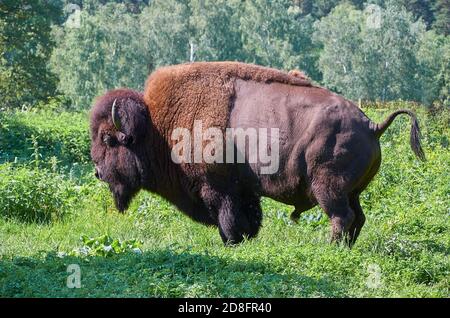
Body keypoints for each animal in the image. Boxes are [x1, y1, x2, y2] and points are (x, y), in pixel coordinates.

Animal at [89, 61, 426, 246]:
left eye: (108, 139)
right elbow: (250, 219)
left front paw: (232, 244)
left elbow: (229, 221)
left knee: (341, 218)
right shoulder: (245, 191)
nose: (97, 171)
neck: (158, 125)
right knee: (358, 218)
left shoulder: (218, 189)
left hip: (329, 189)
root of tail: (371, 125)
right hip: (352, 192)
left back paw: (331, 248)